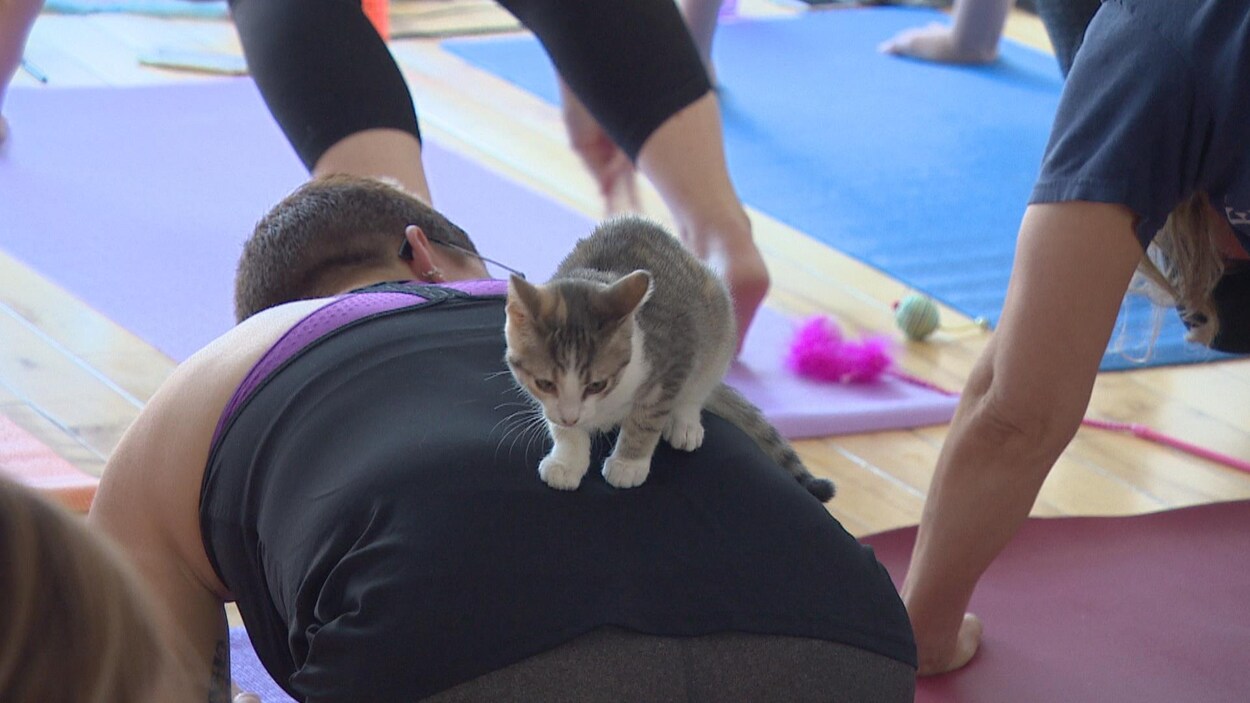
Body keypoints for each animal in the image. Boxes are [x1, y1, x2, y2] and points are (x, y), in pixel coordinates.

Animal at [502, 213, 835, 497]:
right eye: (545, 383)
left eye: (596, 384)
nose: (572, 416)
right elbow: (560, 426)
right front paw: (567, 460)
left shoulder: (674, 358)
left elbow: (648, 418)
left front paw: (628, 463)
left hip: (719, 323)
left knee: (698, 386)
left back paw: (685, 422)